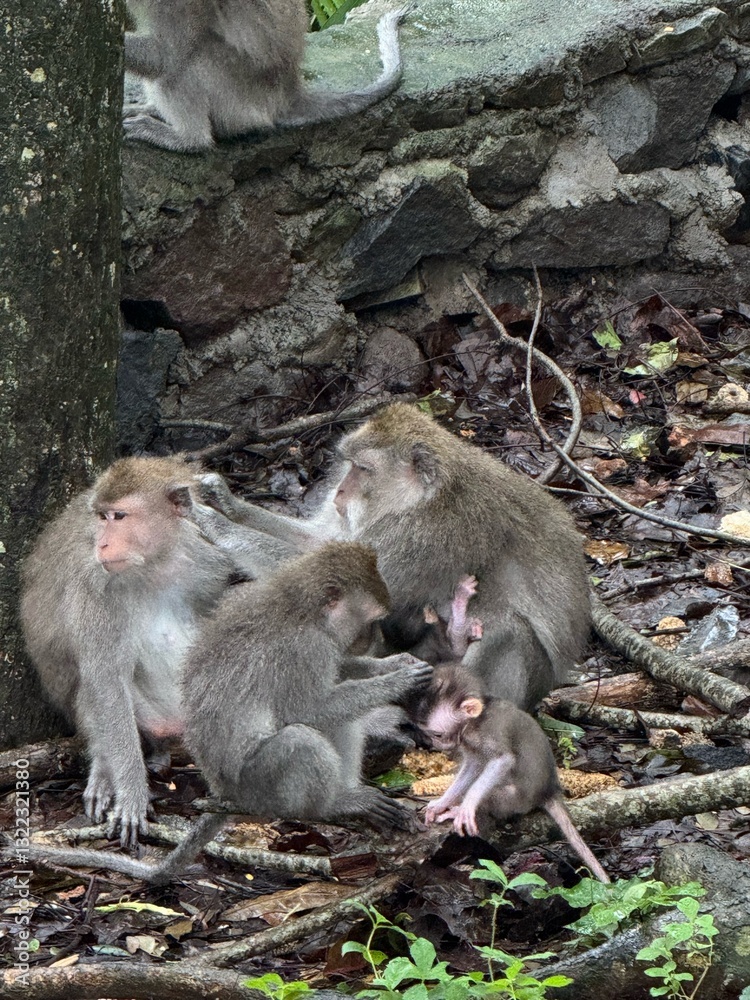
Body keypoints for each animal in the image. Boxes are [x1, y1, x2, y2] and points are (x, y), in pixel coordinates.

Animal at [12, 542, 433, 883]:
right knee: (302, 739)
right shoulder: (305, 648)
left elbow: (337, 674)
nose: (377, 640)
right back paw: (334, 804)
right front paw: (397, 682)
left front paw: (393, 664)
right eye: (372, 620)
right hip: (257, 785)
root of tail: (223, 792)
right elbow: (311, 708)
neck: (301, 606)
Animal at [19, 455, 294, 848]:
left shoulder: (204, 557)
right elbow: (105, 680)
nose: (102, 545)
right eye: (102, 517)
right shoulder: (94, 585)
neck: (156, 563)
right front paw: (131, 793)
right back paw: (105, 769)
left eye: (119, 517)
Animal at [123, 1, 411, 152]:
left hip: (242, 95)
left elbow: (166, 56)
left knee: (186, 65)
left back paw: (189, 140)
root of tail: (290, 93)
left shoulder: (179, 5)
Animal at [415, 665, 610, 883]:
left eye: (437, 734)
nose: (434, 745)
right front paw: (442, 803)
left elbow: (503, 760)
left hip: (517, 802)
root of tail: (548, 791)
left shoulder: (486, 732)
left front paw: (466, 806)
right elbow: (474, 765)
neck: (477, 719)